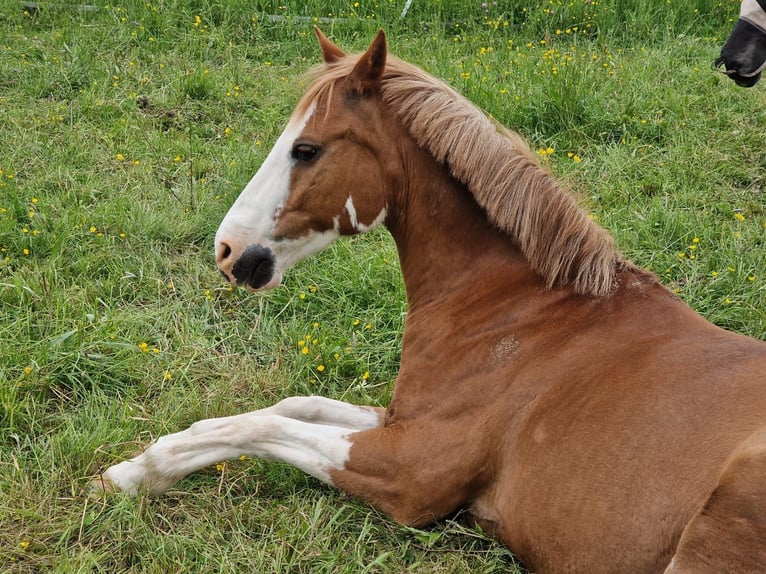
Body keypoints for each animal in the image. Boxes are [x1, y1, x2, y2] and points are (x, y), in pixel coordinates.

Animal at [94, 29, 766, 572]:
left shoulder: (414, 473)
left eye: (306, 149)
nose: (230, 251)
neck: (521, 309)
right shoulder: (401, 420)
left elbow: (260, 422)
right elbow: (290, 404)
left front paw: (135, 472)